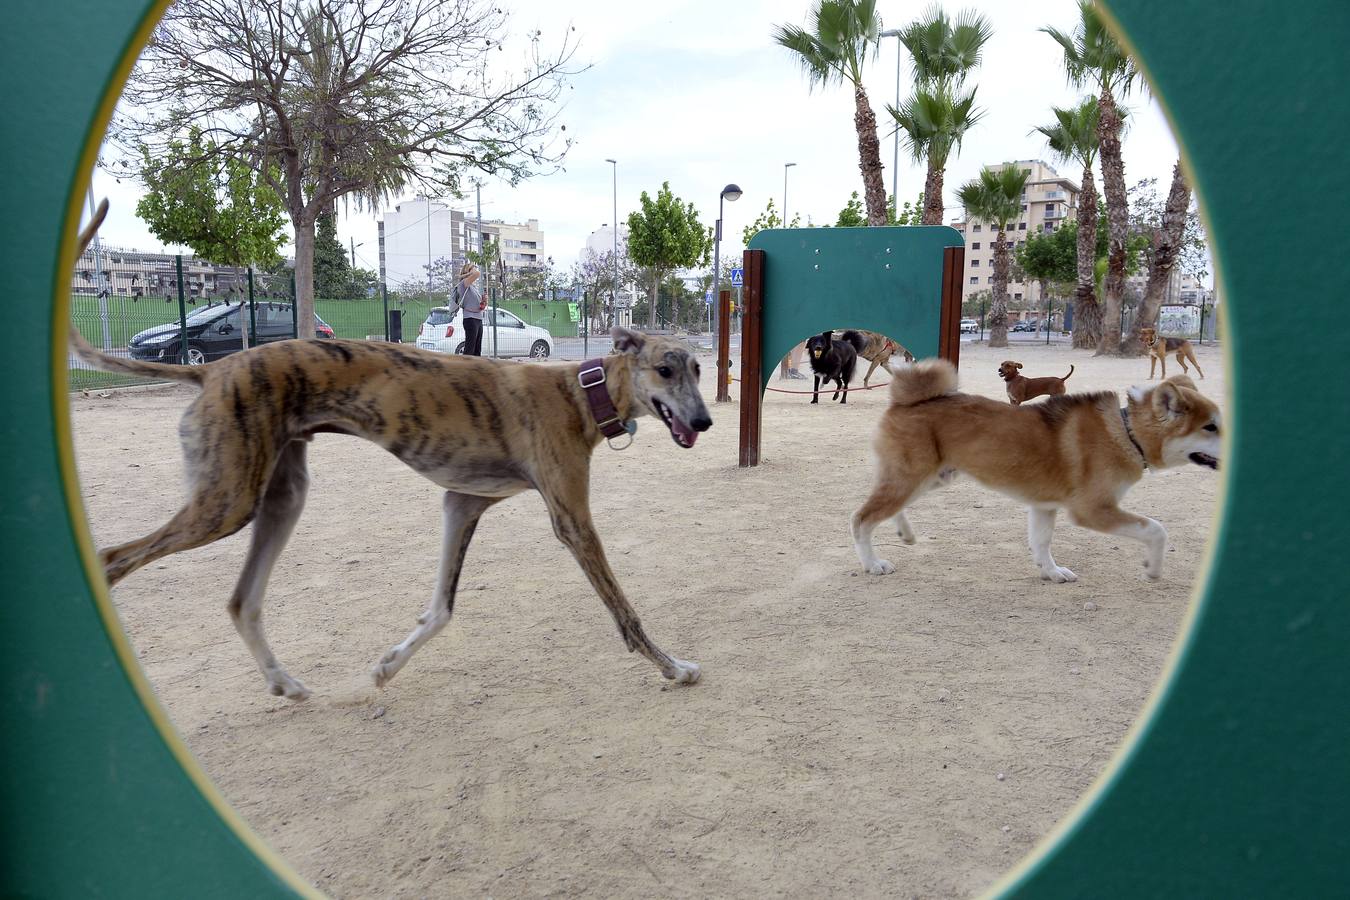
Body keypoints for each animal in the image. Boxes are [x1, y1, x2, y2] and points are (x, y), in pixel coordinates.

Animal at [853, 358, 1225, 585]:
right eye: (1210, 427)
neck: (1126, 431)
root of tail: (906, 400)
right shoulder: (1093, 510)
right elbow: (1156, 530)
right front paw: (1153, 569)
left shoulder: (1044, 506)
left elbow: (1042, 542)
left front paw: (1052, 572)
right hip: (911, 478)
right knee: (862, 519)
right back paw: (872, 564)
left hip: (929, 479)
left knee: (887, 508)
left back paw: (905, 534)